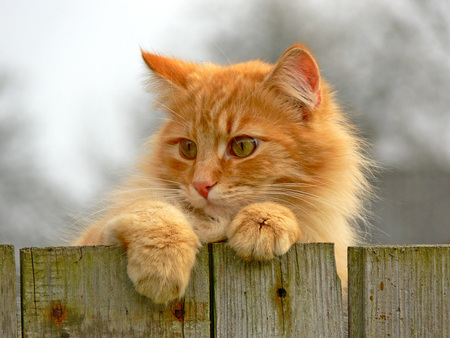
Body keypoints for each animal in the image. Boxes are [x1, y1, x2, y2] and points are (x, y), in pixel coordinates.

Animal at [73, 44, 370, 304]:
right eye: (188, 148)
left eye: (242, 146)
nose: (201, 185)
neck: (219, 226)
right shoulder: (93, 237)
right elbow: (153, 211)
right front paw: (163, 265)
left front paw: (263, 222)